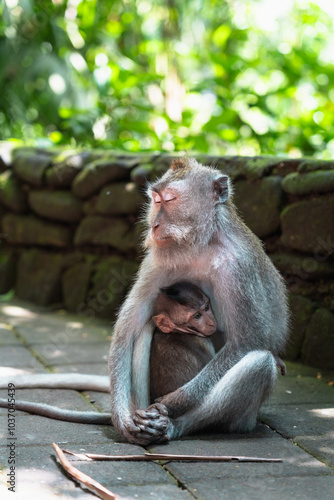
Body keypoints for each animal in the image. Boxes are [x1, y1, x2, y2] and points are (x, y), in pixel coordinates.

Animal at [108, 158, 288, 444]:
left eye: (170, 199)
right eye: (156, 200)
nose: (154, 225)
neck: (201, 246)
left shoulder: (239, 267)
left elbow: (248, 341)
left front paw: (171, 404)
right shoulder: (159, 261)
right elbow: (128, 328)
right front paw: (122, 418)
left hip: (245, 420)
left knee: (258, 364)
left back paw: (173, 425)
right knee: (145, 328)